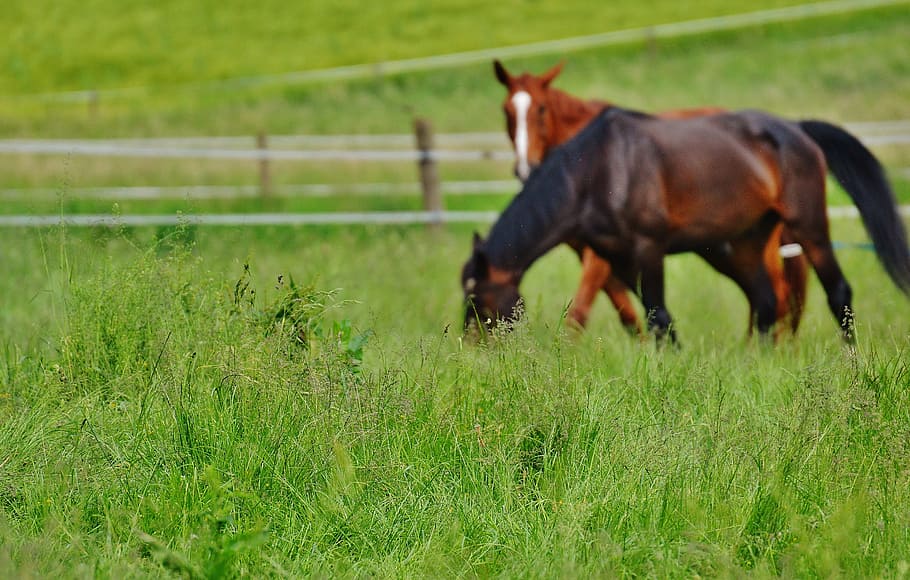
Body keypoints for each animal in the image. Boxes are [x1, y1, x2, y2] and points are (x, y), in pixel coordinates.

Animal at [462, 107, 910, 343]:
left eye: (480, 299)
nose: (473, 349)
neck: (596, 172)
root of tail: (797, 129)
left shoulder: (648, 248)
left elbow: (659, 316)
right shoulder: (618, 258)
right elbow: (655, 319)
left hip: (809, 225)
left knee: (838, 294)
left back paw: (853, 363)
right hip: (744, 241)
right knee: (766, 303)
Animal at [493, 59, 808, 337]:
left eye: (541, 109)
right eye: (506, 111)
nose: (525, 167)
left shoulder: (601, 256)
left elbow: (580, 313)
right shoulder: (594, 253)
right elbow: (628, 315)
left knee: (779, 296)